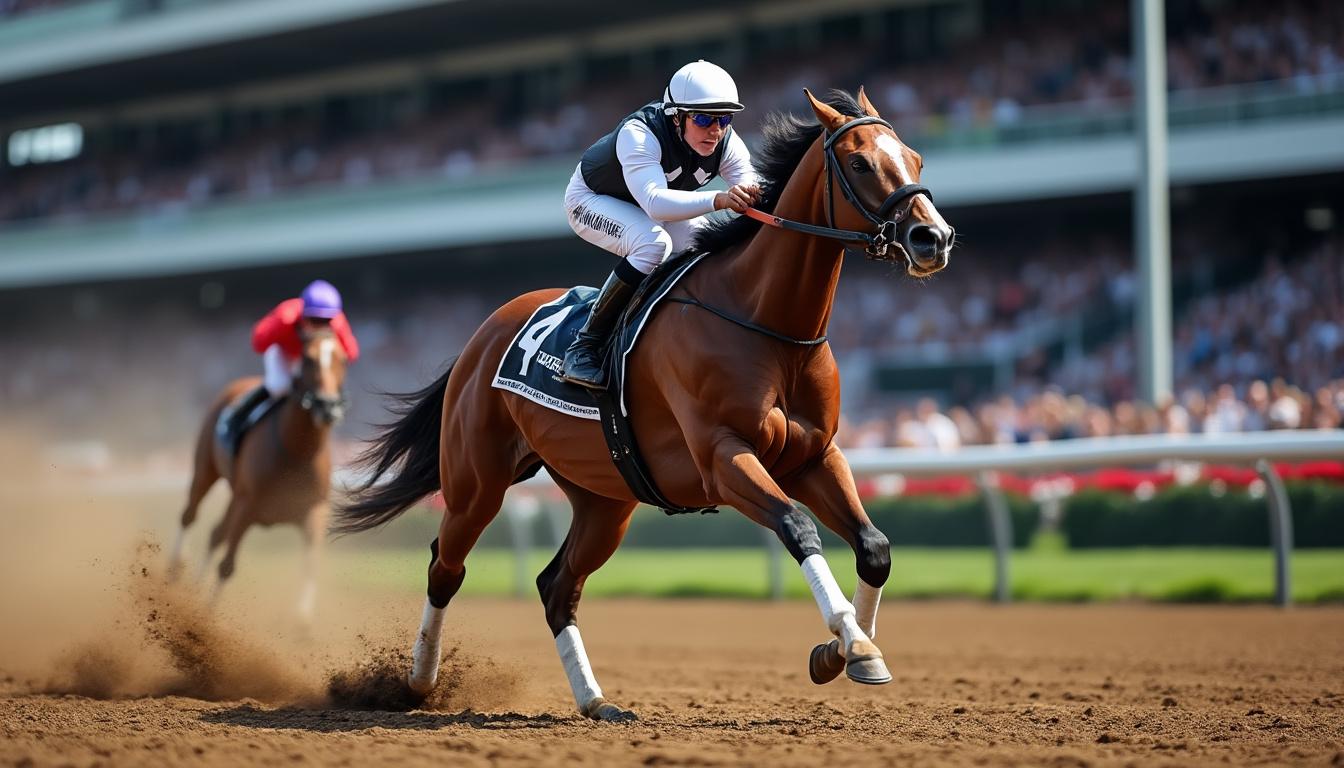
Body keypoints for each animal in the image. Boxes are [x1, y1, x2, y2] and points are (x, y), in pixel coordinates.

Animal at [169, 326, 349, 621]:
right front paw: (203, 619)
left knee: (216, 533)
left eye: (342, 359)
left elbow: (311, 563)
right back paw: (174, 569)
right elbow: (227, 566)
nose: (328, 406)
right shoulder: (247, 506)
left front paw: (302, 620)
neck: (297, 450)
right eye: (308, 359)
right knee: (189, 515)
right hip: (205, 470)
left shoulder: (313, 510)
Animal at [335, 88, 954, 721]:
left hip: (604, 498)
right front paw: (853, 645)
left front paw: (848, 650)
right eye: (860, 163)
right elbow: (797, 527)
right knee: (446, 566)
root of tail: (483, 333)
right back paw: (417, 684)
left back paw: (596, 702)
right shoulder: (723, 458)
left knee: (557, 586)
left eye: (915, 157)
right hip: (475, 482)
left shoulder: (814, 456)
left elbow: (875, 547)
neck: (765, 321)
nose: (933, 239)